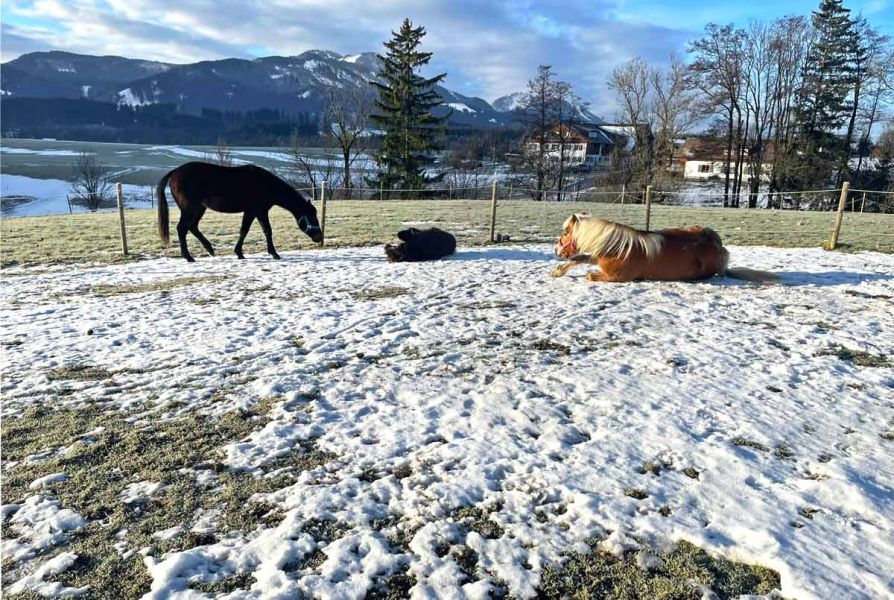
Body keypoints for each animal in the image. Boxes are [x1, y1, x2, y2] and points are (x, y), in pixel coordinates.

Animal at [156, 161, 323, 262]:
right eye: (313, 217)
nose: (319, 237)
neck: (265, 184)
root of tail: (175, 172)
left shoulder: (257, 212)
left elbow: (259, 230)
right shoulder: (255, 211)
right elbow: (254, 230)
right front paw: (271, 253)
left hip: (200, 208)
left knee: (192, 227)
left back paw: (210, 249)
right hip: (190, 208)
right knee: (182, 228)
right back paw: (188, 257)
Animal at [551, 214, 776, 283]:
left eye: (566, 232)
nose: (556, 251)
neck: (619, 247)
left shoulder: (616, 277)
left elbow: (590, 274)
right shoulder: (598, 256)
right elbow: (578, 258)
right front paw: (557, 272)